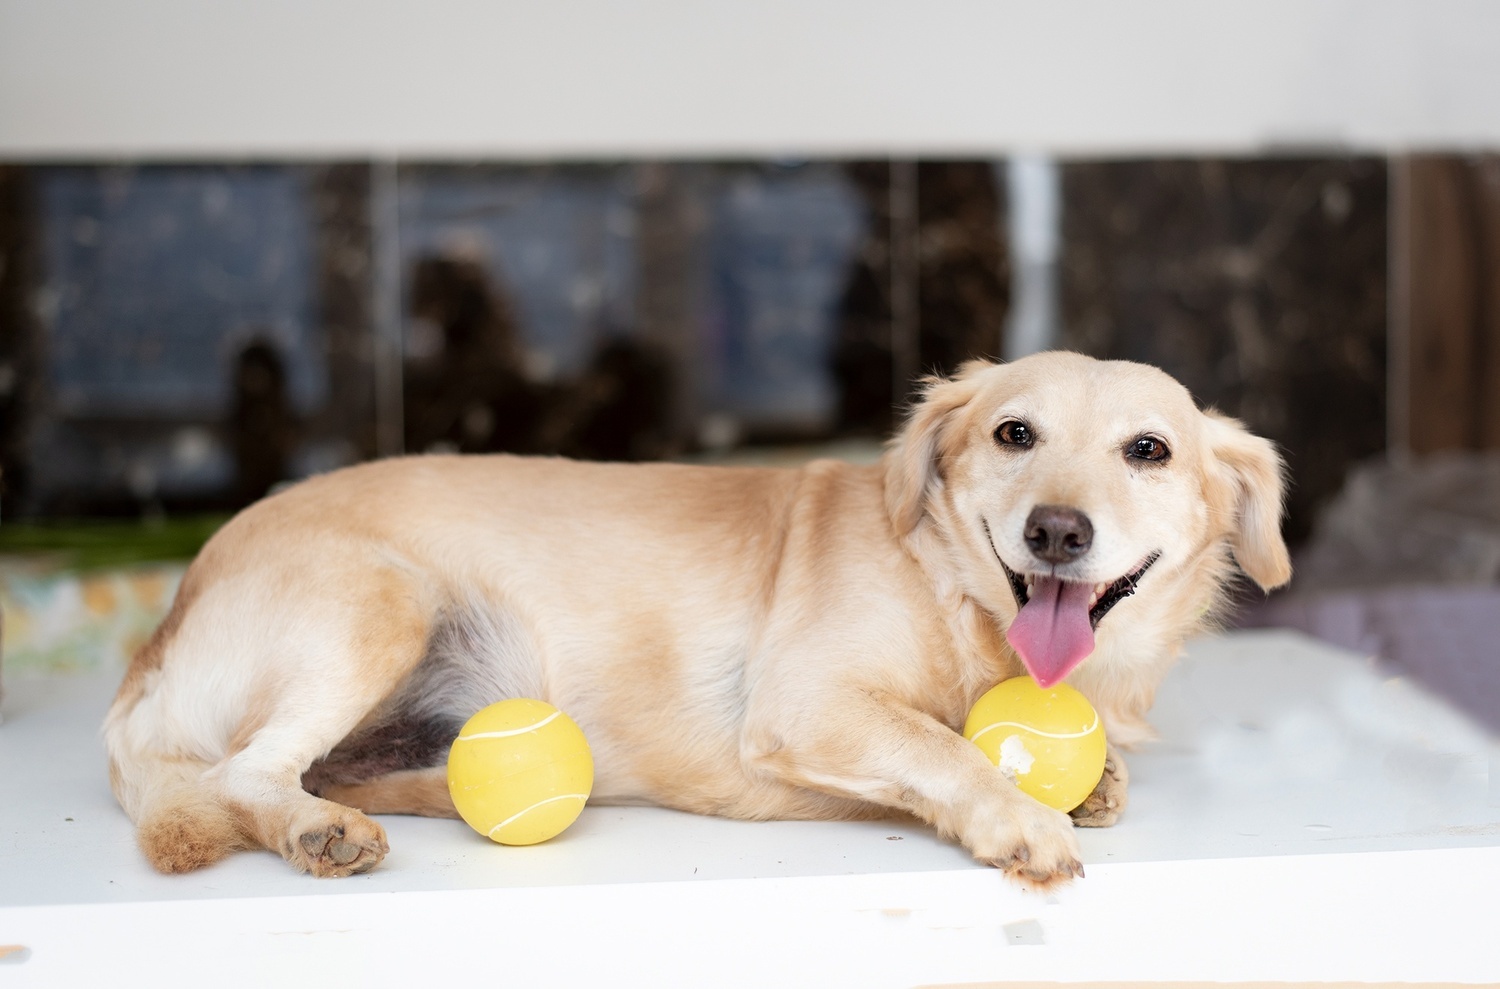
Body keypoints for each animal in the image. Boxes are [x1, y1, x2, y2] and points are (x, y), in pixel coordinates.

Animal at [102, 354, 1290, 888]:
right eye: (1014, 433)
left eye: (1149, 449)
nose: (1055, 531)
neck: (959, 598)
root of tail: (150, 648)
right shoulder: (809, 702)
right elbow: (945, 749)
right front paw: (1021, 818)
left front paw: (1090, 783)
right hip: (381, 602)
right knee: (244, 775)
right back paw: (313, 829)